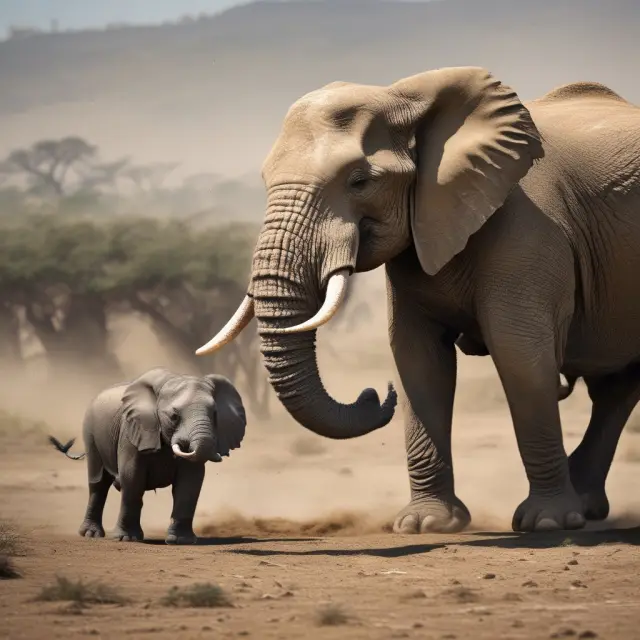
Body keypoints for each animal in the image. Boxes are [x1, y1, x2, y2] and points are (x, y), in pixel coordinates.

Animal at [49, 368, 246, 544]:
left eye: (215, 414)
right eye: (174, 416)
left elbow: (190, 482)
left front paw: (182, 541)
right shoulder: (131, 430)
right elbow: (132, 477)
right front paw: (126, 539)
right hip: (90, 433)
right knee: (98, 483)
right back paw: (90, 534)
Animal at [195, 66, 640, 533]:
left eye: (359, 181)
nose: (374, 394)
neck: (405, 96)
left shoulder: (531, 227)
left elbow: (520, 355)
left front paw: (548, 524)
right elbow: (418, 358)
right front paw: (426, 524)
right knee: (617, 391)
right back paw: (588, 507)